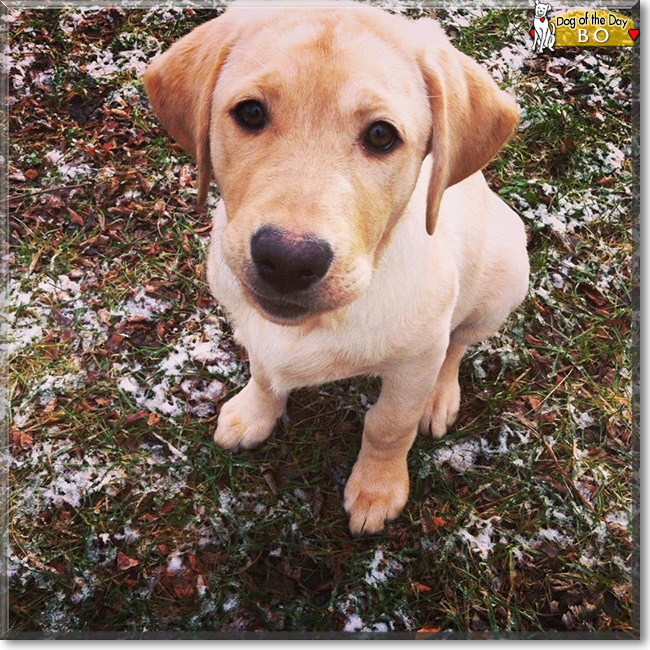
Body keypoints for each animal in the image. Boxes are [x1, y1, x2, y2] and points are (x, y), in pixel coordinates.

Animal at [144, 2, 528, 536]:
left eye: (381, 135)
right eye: (250, 112)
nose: (288, 259)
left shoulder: (414, 362)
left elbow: (390, 425)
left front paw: (377, 489)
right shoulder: (254, 330)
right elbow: (265, 374)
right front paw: (253, 414)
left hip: (506, 274)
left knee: (458, 343)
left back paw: (439, 397)